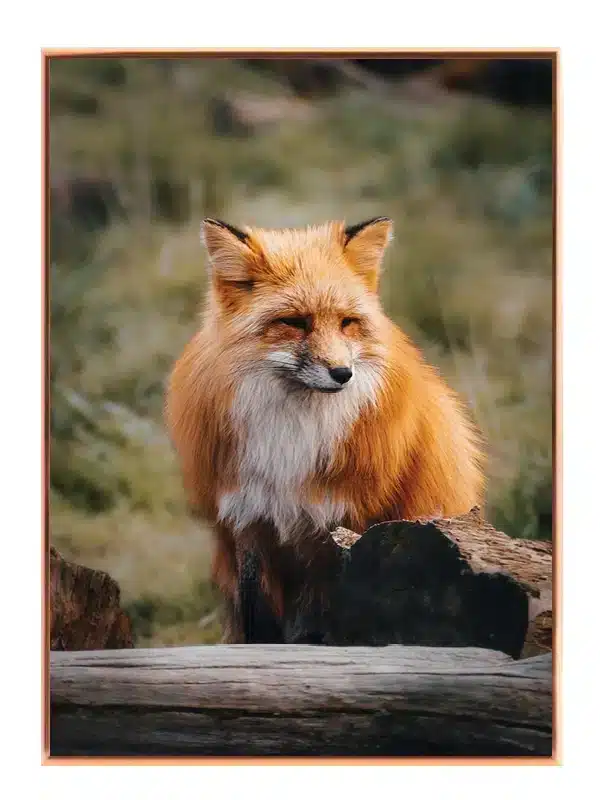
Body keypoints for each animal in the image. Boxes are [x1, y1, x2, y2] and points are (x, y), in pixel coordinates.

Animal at [165, 216, 485, 643]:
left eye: (348, 323)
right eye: (295, 322)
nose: (343, 374)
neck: (290, 437)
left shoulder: (339, 529)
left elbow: (321, 626)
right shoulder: (248, 520)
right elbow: (259, 624)